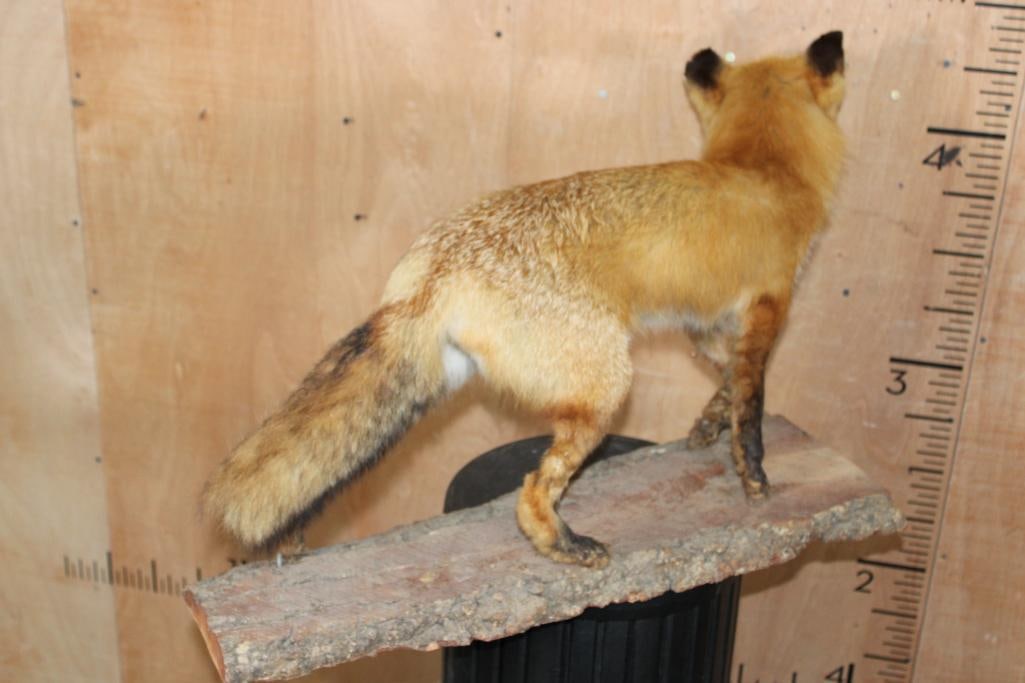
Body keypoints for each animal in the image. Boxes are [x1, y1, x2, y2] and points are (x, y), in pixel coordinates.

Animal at [203, 32, 847, 569]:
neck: (764, 168)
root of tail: (439, 264)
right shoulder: (768, 306)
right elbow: (753, 404)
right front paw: (754, 477)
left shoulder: (704, 323)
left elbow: (727, 380)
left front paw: (706, 428)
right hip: (607, 389)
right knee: (532, 492)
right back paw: (566, 546)